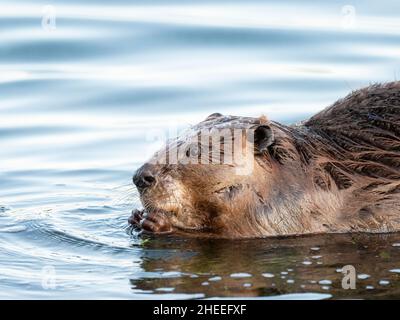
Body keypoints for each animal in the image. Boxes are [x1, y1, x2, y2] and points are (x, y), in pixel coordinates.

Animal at [129, 81, 400, 239]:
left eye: (194, 151)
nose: (141, 177)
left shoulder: (289, 211)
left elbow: (237, 232)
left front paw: (156, 221)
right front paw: (136, 216)